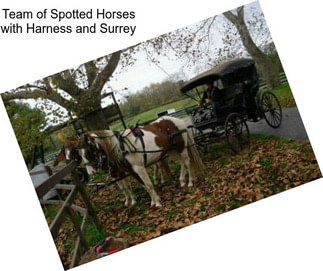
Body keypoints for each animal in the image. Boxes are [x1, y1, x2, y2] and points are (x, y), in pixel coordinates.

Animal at [63, 116, 205, 207]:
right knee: (182, 163)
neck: (120, 147)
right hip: (171, 151)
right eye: (79, 154)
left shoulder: (139, 168)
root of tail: (176, 120)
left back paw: (190, 181)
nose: (91, 172)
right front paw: (153, 201)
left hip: (181, 148)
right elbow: (142, 186)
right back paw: (182, 180)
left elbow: (148, 185)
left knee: (187, 162)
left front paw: (157, 202)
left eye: (89, 150)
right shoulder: (130, 171)